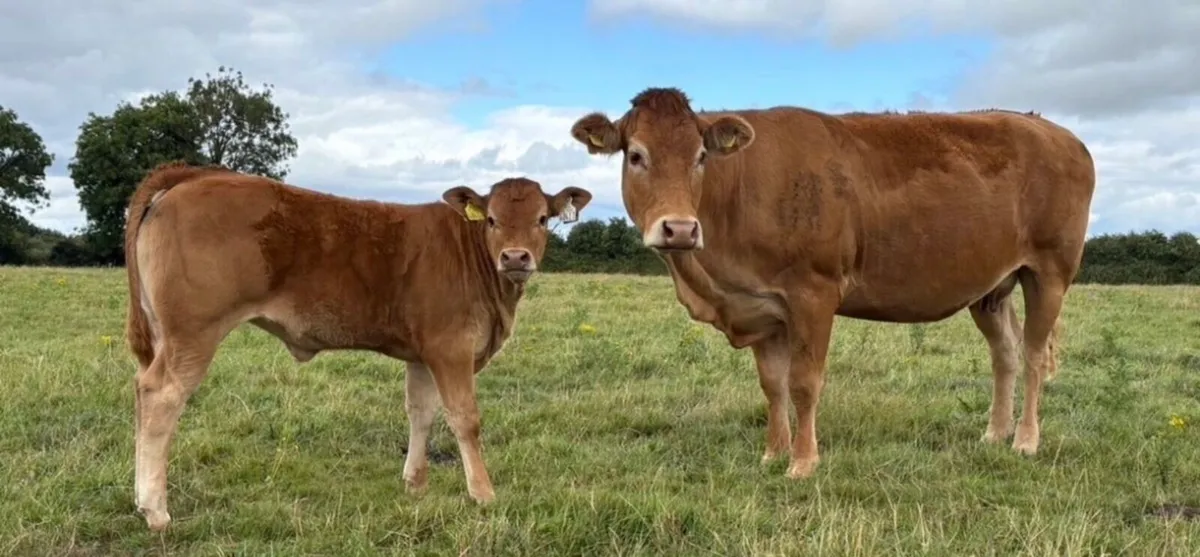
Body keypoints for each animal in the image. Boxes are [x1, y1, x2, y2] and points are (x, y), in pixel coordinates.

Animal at [122, 161, 593, 531]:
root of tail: (194, 175)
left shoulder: (424, 353)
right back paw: (155, 509)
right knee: (161, 397)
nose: (515, 257)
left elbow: (420, 413)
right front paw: (482, 492)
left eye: (542, 219)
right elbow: (465, 419)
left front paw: (415, 483)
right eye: (491, 219)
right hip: (193, 333)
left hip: (165, 335)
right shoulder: (452, 349)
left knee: (142, 392)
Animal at [569, 87, 1095, 480]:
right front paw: (772, 453)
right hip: (991, 287)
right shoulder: (762, 307)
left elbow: (803, 383)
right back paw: (993, 434)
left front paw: (803, 462)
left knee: (1032, 354)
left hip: (1049, 272)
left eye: (701, 156)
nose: (679, 229)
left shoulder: (814, 294)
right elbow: (772, 385)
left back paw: (1025, 441)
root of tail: (1055, 131)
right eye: (636, 155)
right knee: (1004, 354)